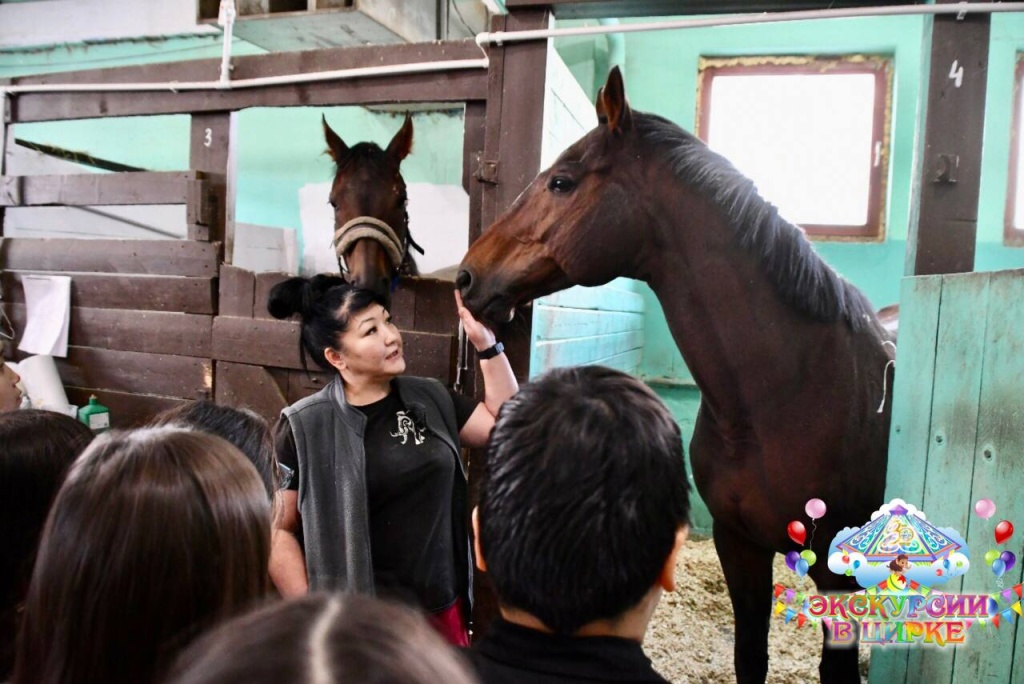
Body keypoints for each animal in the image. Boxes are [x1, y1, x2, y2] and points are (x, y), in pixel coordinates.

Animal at [458, 65, 897, 684]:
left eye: (562, 182)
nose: (467, 276)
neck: (788, 395)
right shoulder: (739, 546)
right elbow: (749, 657)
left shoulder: (837, 575)